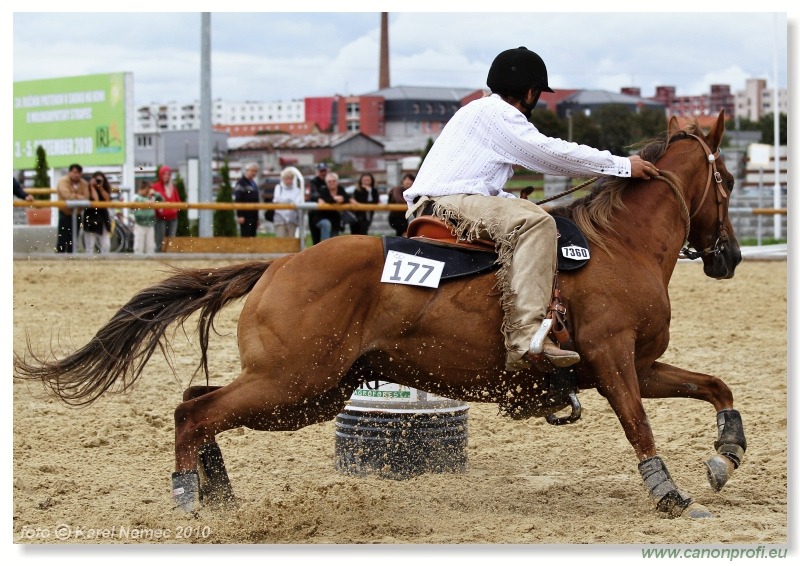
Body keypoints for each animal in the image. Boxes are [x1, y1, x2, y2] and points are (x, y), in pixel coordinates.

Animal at [14, 108, 744, 520]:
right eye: (729, 180)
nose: (730, 256)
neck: (618, 245)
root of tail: (275, 266)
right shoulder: (613, 359)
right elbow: (640, 424)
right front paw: (671, 495)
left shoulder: (633, 363)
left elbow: (716, 386)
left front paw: (726, 455)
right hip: (294, 385)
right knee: (195, 410)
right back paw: (190, 495)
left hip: (304, 393)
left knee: (197, 401)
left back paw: (216, 491)